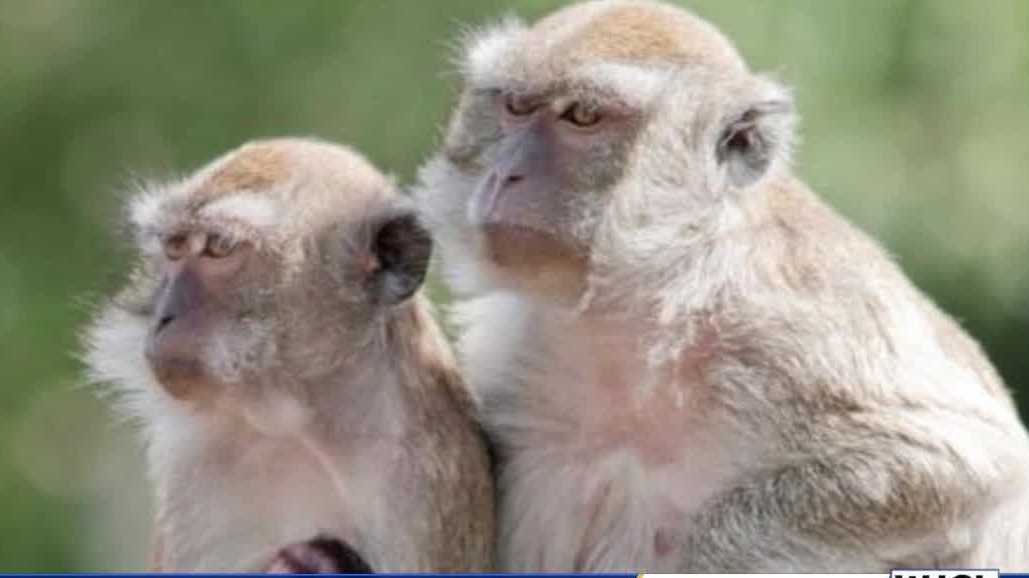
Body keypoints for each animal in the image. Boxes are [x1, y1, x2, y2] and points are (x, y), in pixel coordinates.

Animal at [82, 138, 494, 572]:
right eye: (175, 248)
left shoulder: (421, 481)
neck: (295, 420)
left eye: (219, 247)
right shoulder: (191, 469)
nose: (164, 316)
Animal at [413, 0, 1029, 571]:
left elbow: (957, 462)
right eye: (515, 107)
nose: (505, 174)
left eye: (583, 116)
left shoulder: (790, 328)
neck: (650, 298)